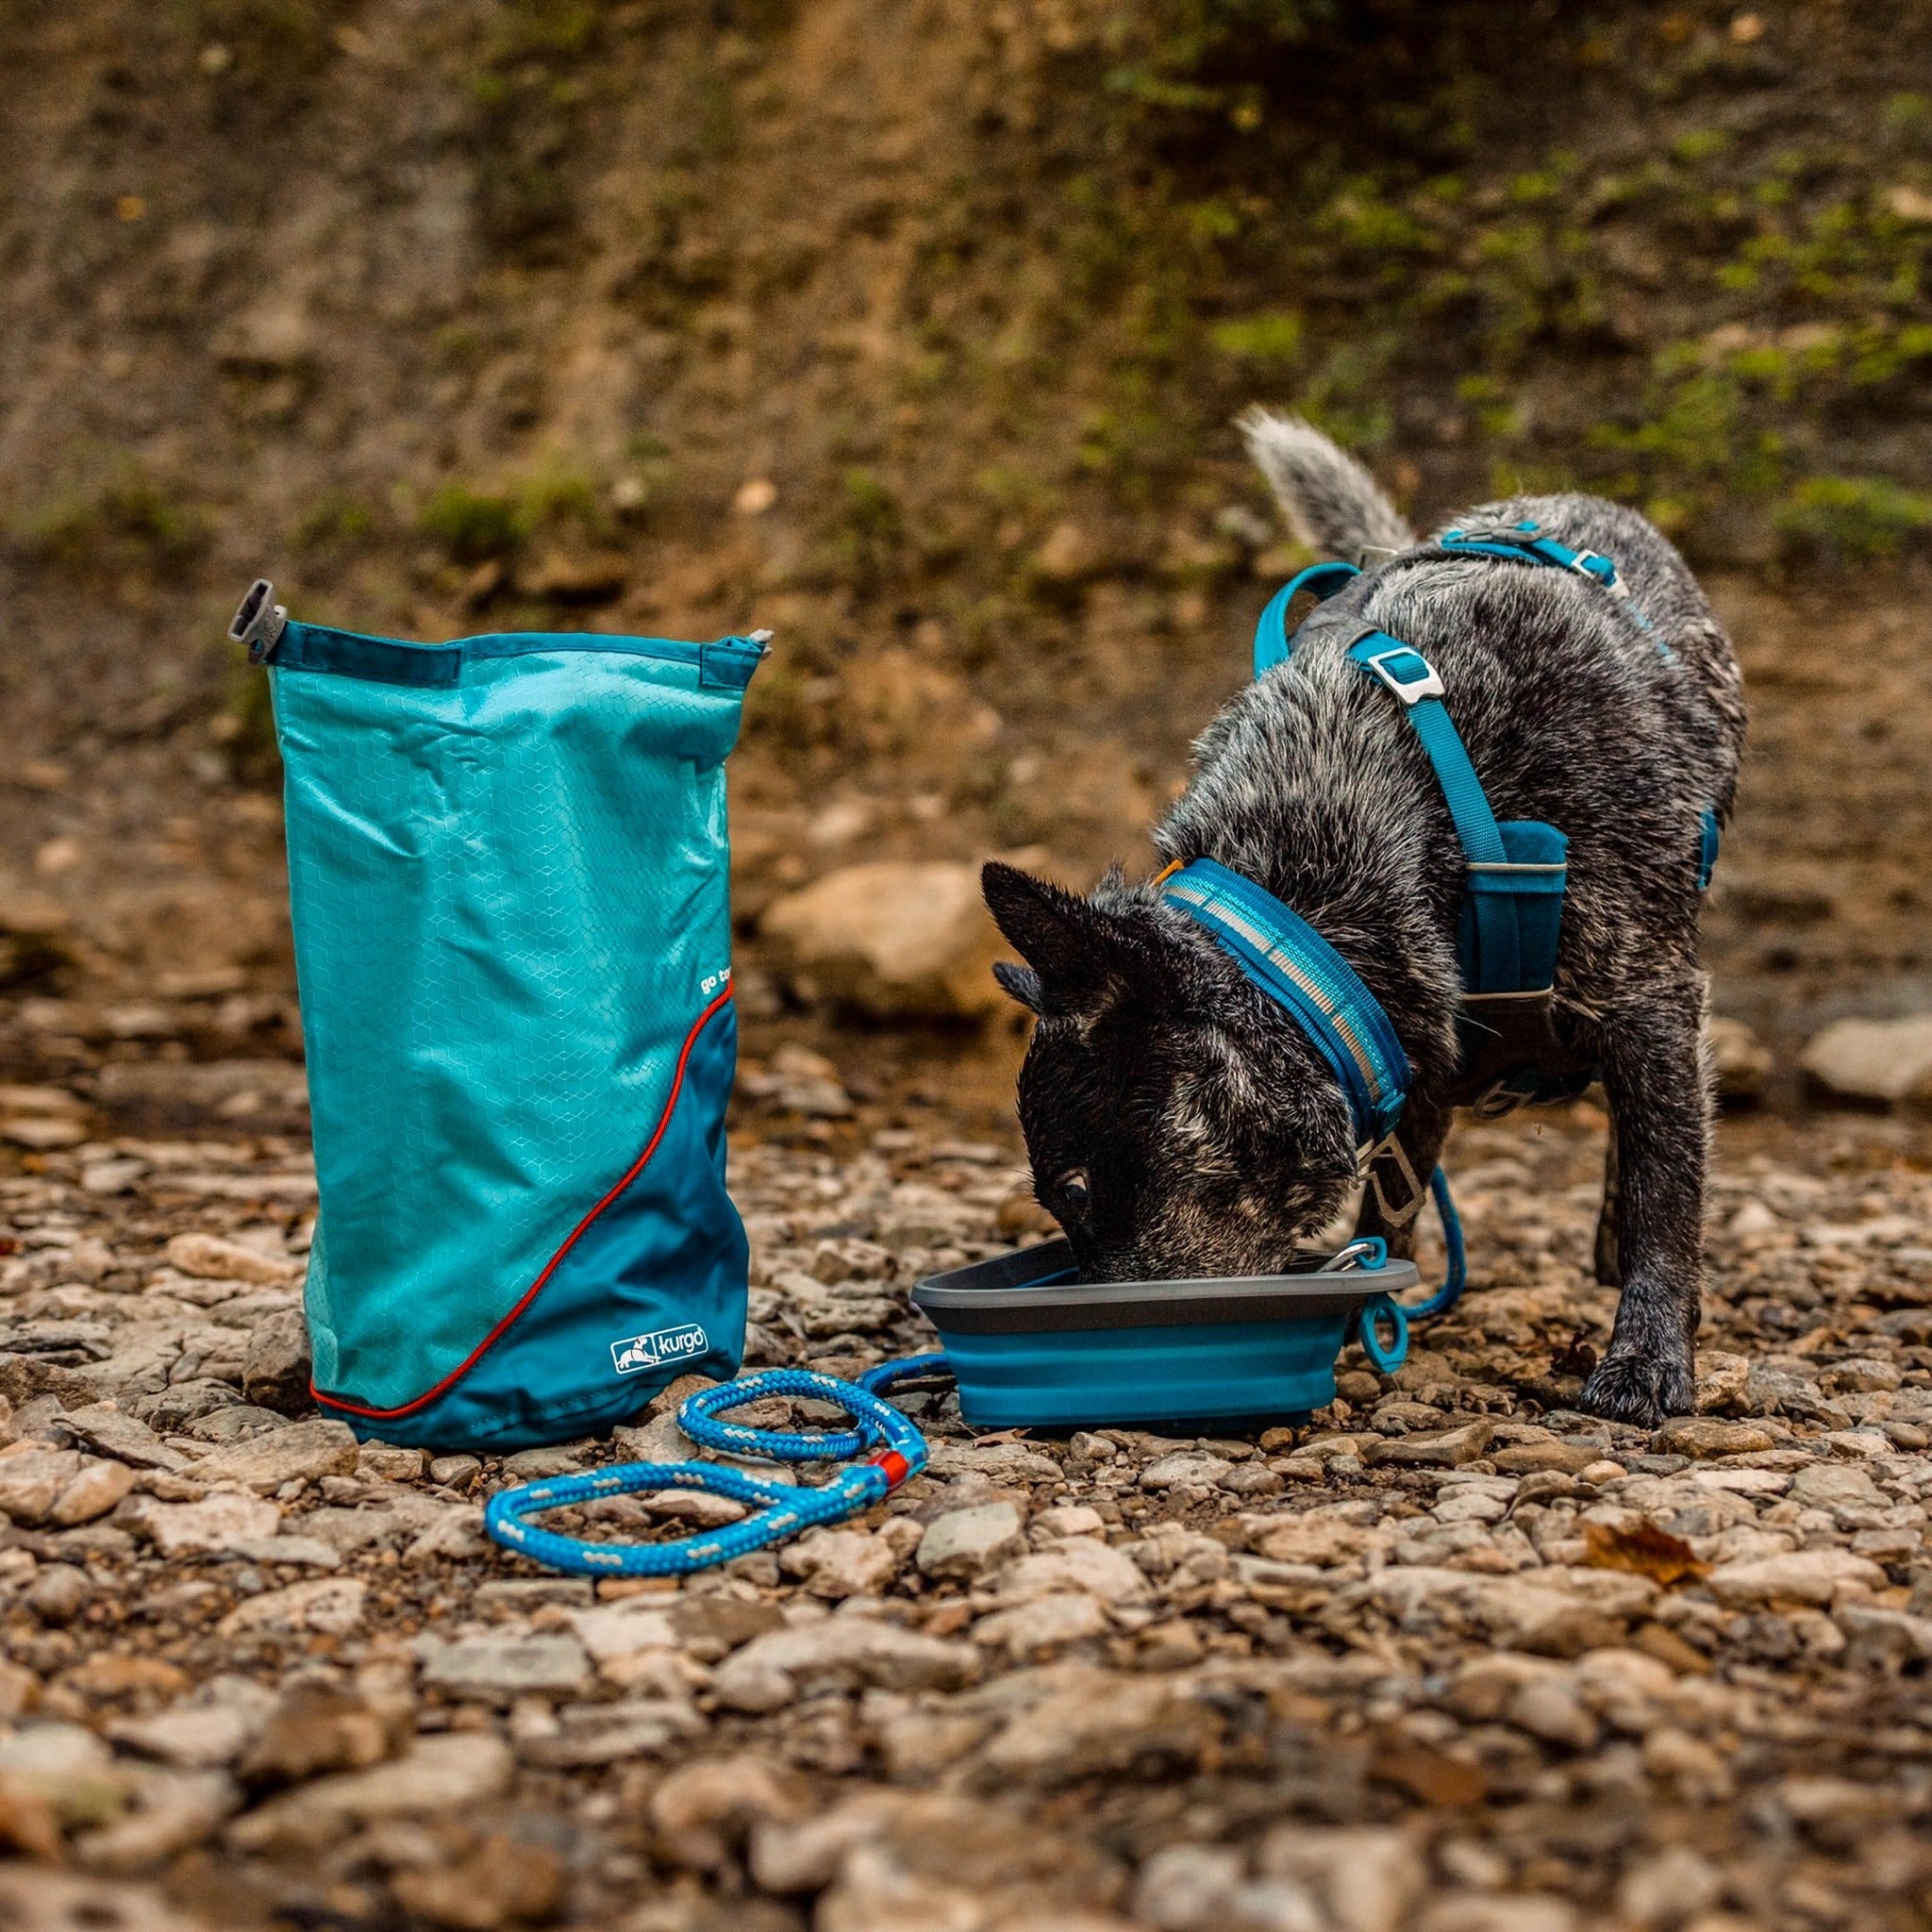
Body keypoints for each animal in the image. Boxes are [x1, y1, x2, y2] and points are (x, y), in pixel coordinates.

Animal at [981, 415, 1754, 1429]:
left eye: (1073, 1190)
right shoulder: (1406, 1055)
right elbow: (1391, 1212)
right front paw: (1365, 1320)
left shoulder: (1650, 999)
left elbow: (1669, 1183)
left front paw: (1649, 1353)